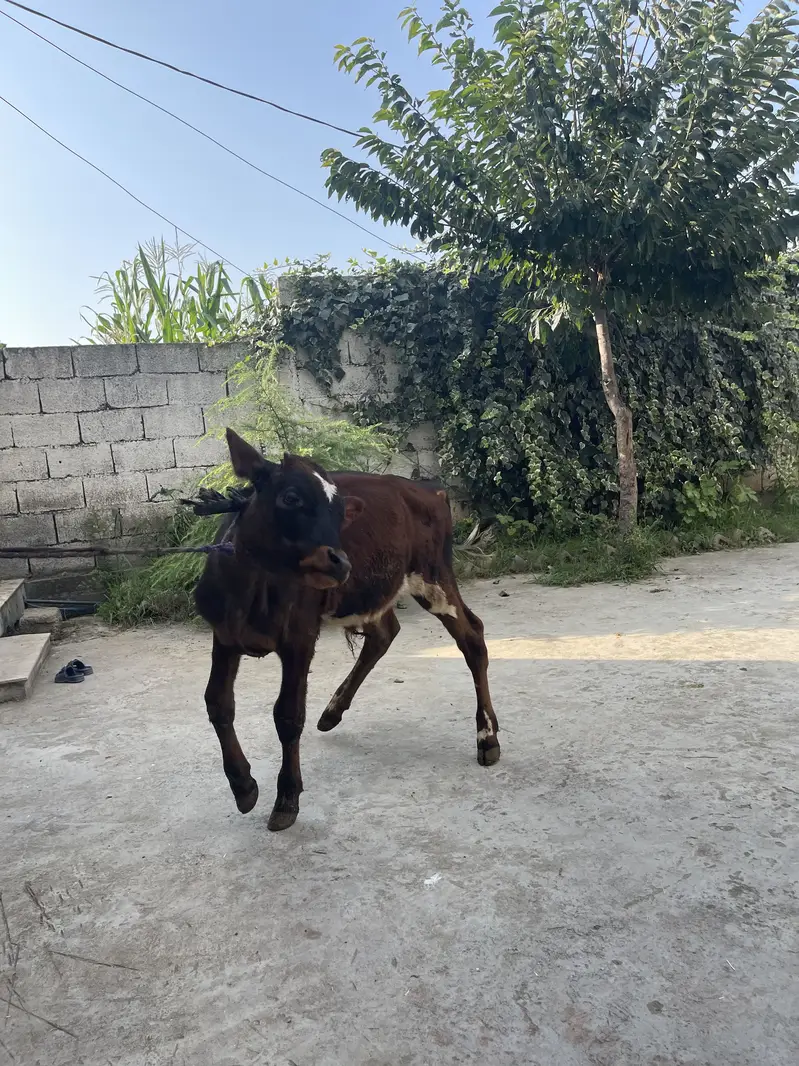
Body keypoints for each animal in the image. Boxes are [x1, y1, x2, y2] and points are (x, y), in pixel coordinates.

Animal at [191, 429, 500, 832]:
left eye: (340, 514)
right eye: (291, 497)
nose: (339, 561)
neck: (252, 590)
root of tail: (429, 489)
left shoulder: (300, 638)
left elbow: (288, 714)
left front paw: (287, 797)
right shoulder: (225, 636)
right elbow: (218, 703)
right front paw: (243, 785)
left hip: (433, 576)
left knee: (472, 636)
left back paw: (487, 737)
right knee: (385, 632)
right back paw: (332, 711)